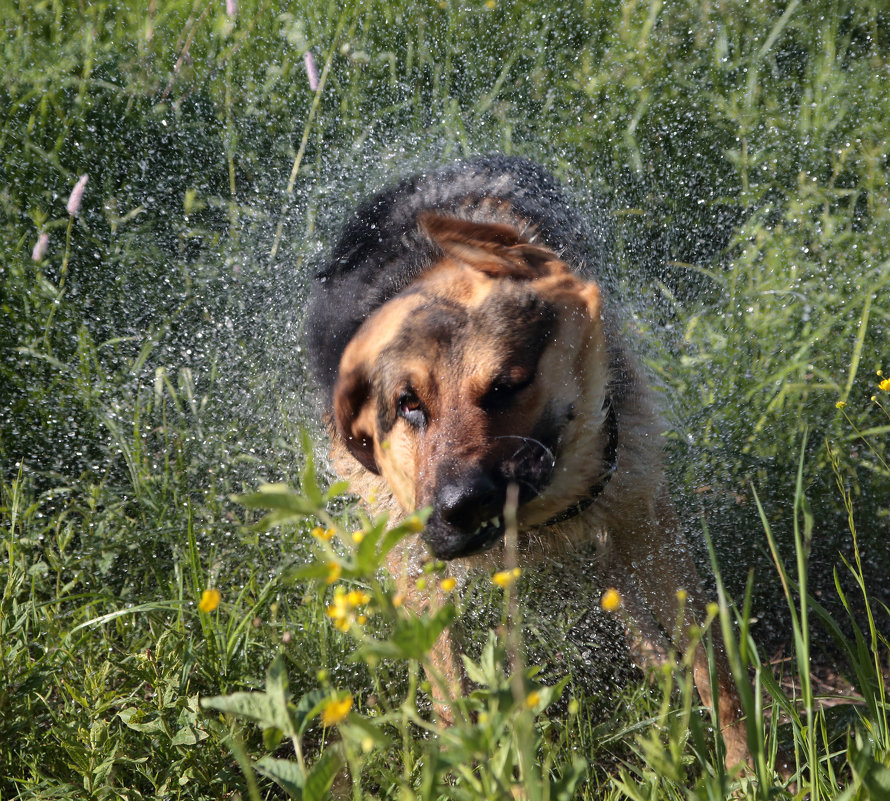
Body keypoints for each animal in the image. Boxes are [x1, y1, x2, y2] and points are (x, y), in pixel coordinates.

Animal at [306, 155, 748, 764]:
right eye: (408, 405)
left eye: (508, 384)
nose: (462, 506)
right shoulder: (417, 574)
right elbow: (452, 698)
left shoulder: (644, 521)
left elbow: (715, 670)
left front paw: (750, 767)